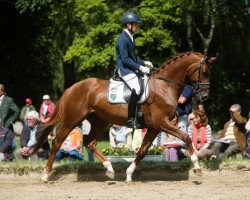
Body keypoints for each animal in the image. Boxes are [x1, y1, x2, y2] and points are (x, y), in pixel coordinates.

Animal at [34, 52, 216, 183]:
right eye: (205, 72)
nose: (205, 96)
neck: (164, 86)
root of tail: (72, 88)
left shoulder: (154, 127)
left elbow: (142, 151)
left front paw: (129, 174)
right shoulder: (162, 123)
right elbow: (186, 137)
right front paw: (197, 166)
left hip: (100, 120)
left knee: (90, 142)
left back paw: (109, 168)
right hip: (72, 119)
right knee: (57, 142)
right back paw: (45, 175)